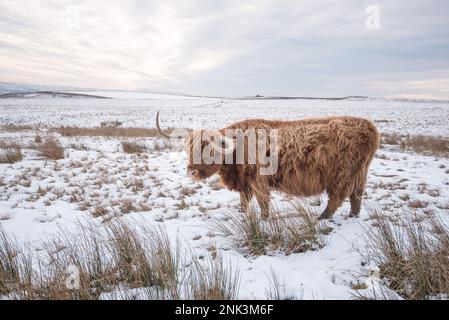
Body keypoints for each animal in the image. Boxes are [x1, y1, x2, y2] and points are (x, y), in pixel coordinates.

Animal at [157, 112, 378, 220]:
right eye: (188, 149)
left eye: (211, 150)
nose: (191, 171)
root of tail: (369, 126)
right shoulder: (245, 183)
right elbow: (244, 202)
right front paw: (243, 215)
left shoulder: (258, 180)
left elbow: (263, 202)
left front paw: (264, 219)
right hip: (359, 174)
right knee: (356, 197)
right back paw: (352, 216)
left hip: (341, 175)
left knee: (337, 198)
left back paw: (321, 218)